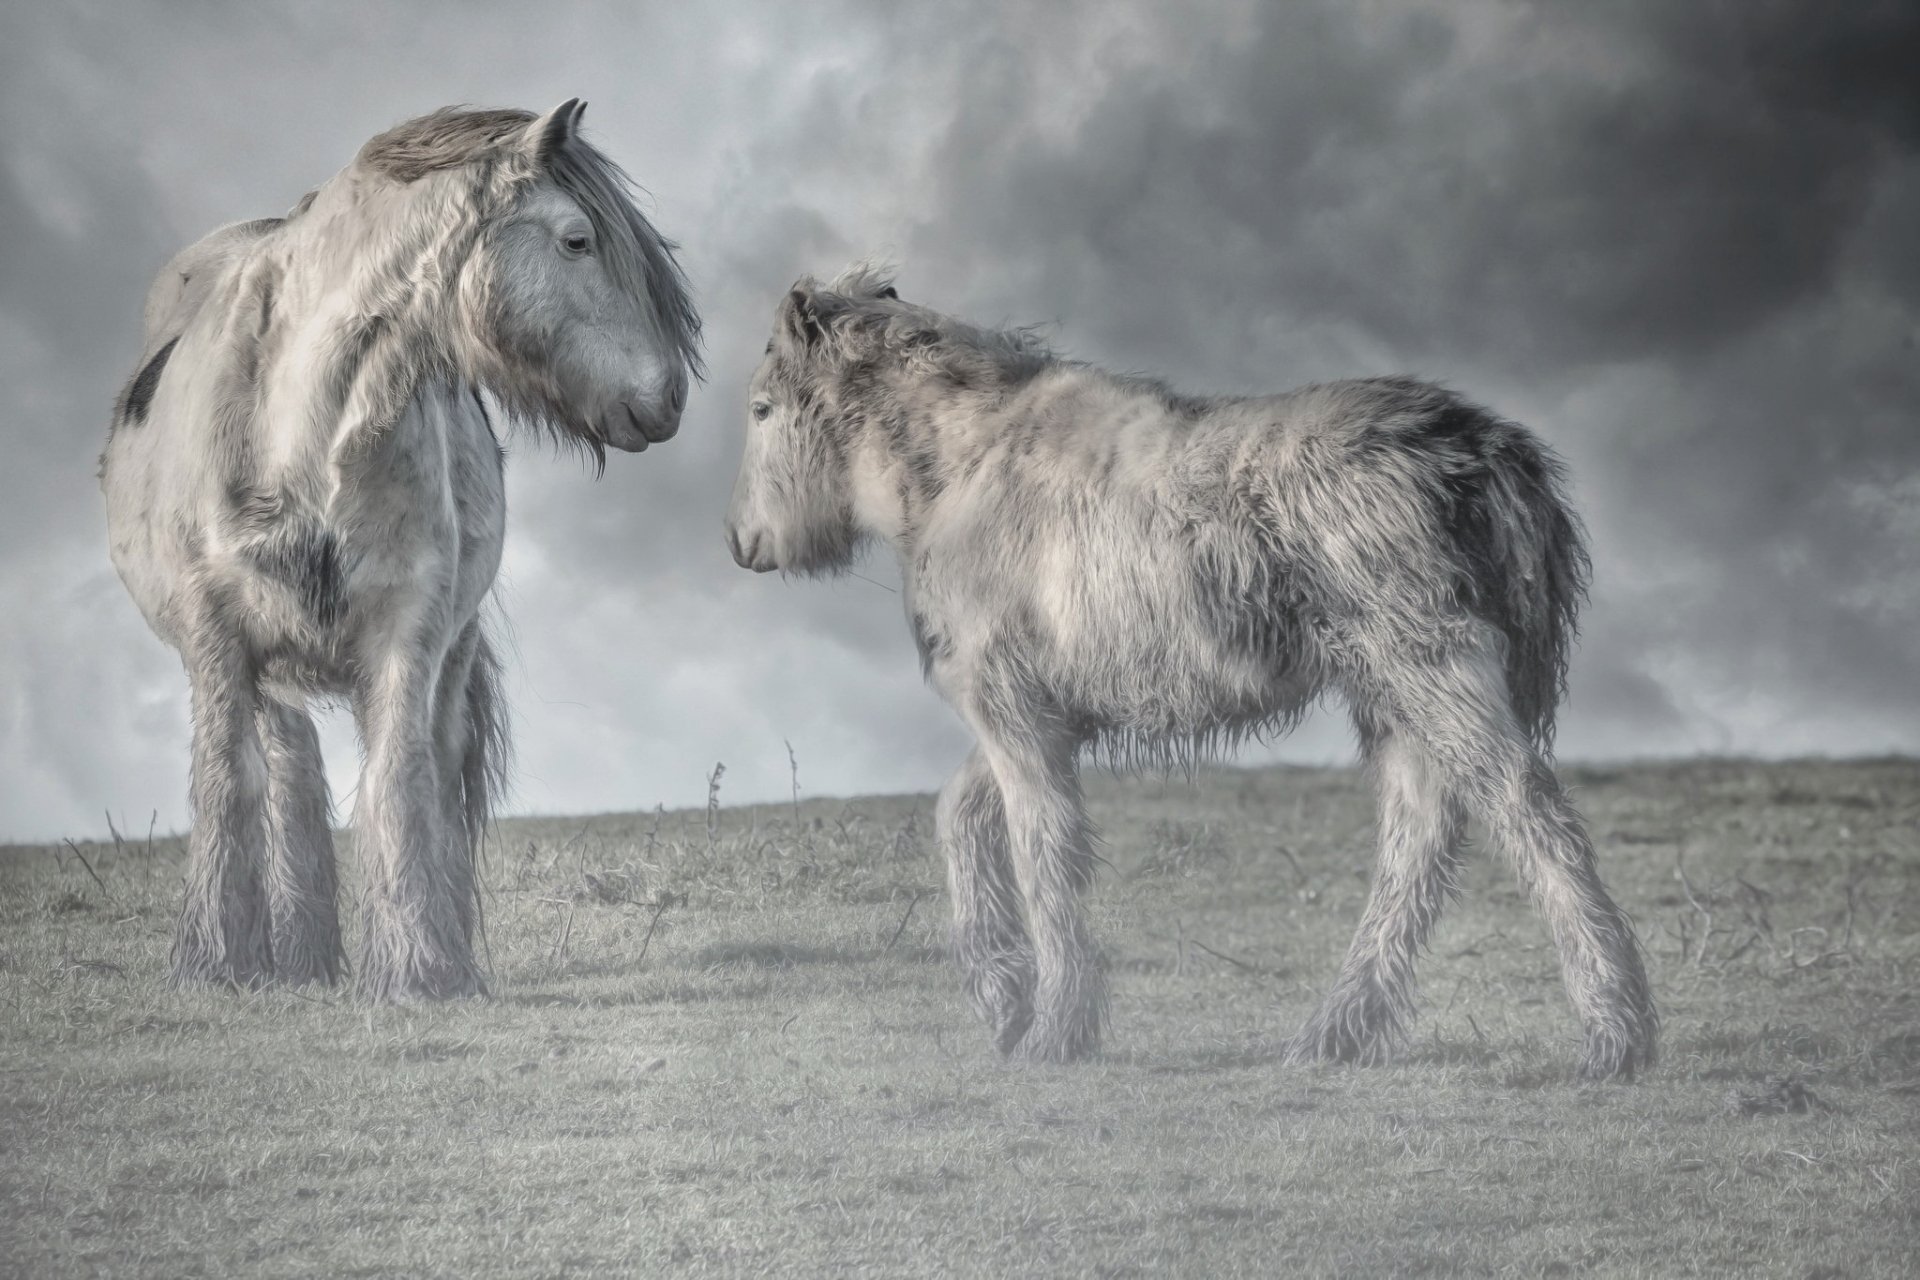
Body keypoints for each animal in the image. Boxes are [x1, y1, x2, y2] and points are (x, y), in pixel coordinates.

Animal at [101, 101, 701, 1001]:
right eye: (577, 240)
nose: (668, 398)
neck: (299, 433)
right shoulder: (215, 637)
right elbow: (228, 783)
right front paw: (216, 964)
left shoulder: (407, 631)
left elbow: (399, 777)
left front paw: (422, 969)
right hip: (264, 670)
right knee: (286, 769)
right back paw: (295, 957)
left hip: (444, 648)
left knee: (425, 768)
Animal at [724, 266, 1657, 1080]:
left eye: (763, 409)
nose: (741, 542)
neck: (966, 468)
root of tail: (1485, 449)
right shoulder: (1047, 717)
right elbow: (964, 816)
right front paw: (1003, 994)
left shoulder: (1013, 712)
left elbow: (1042, 850)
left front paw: (1054, 1028)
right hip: (1393, 696)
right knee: (1419, 840)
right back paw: (1334, 1035)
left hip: (1431, 674)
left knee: (1528, 817)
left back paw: (1615, 1036)